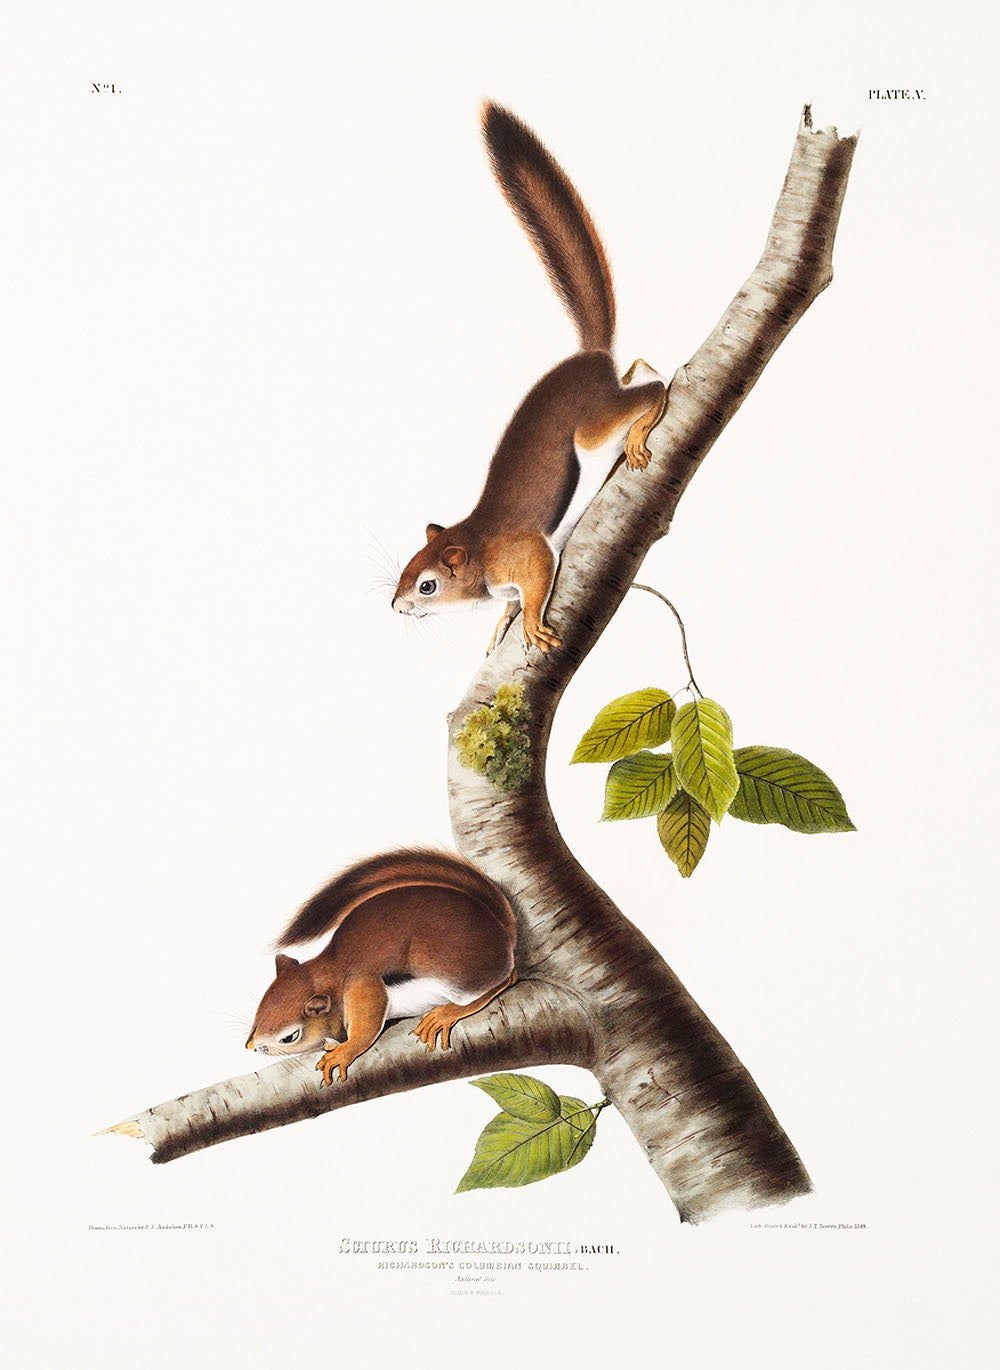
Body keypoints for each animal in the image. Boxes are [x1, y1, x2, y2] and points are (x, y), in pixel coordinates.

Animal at [246, 848, 517, 1085]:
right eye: (261, 1007)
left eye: (289, 1037)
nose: (250, 1047)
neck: (330, 973)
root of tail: (502, 931)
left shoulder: (363, 986)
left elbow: (365, 1028)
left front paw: (344, 1051)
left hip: (455, 972)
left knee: (506, 980)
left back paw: (446, 1014)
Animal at [391, 102, 667, 654]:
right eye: (406, 569)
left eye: (426, 585)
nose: (395, 605)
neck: (475, 545)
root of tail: (590, 357)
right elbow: (508, 605)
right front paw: (502, 622)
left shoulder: (520, 554)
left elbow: (539, 573)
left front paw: (533, 622)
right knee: (641, 370)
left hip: (591, 428)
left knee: (654, 389)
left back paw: (645, 425)